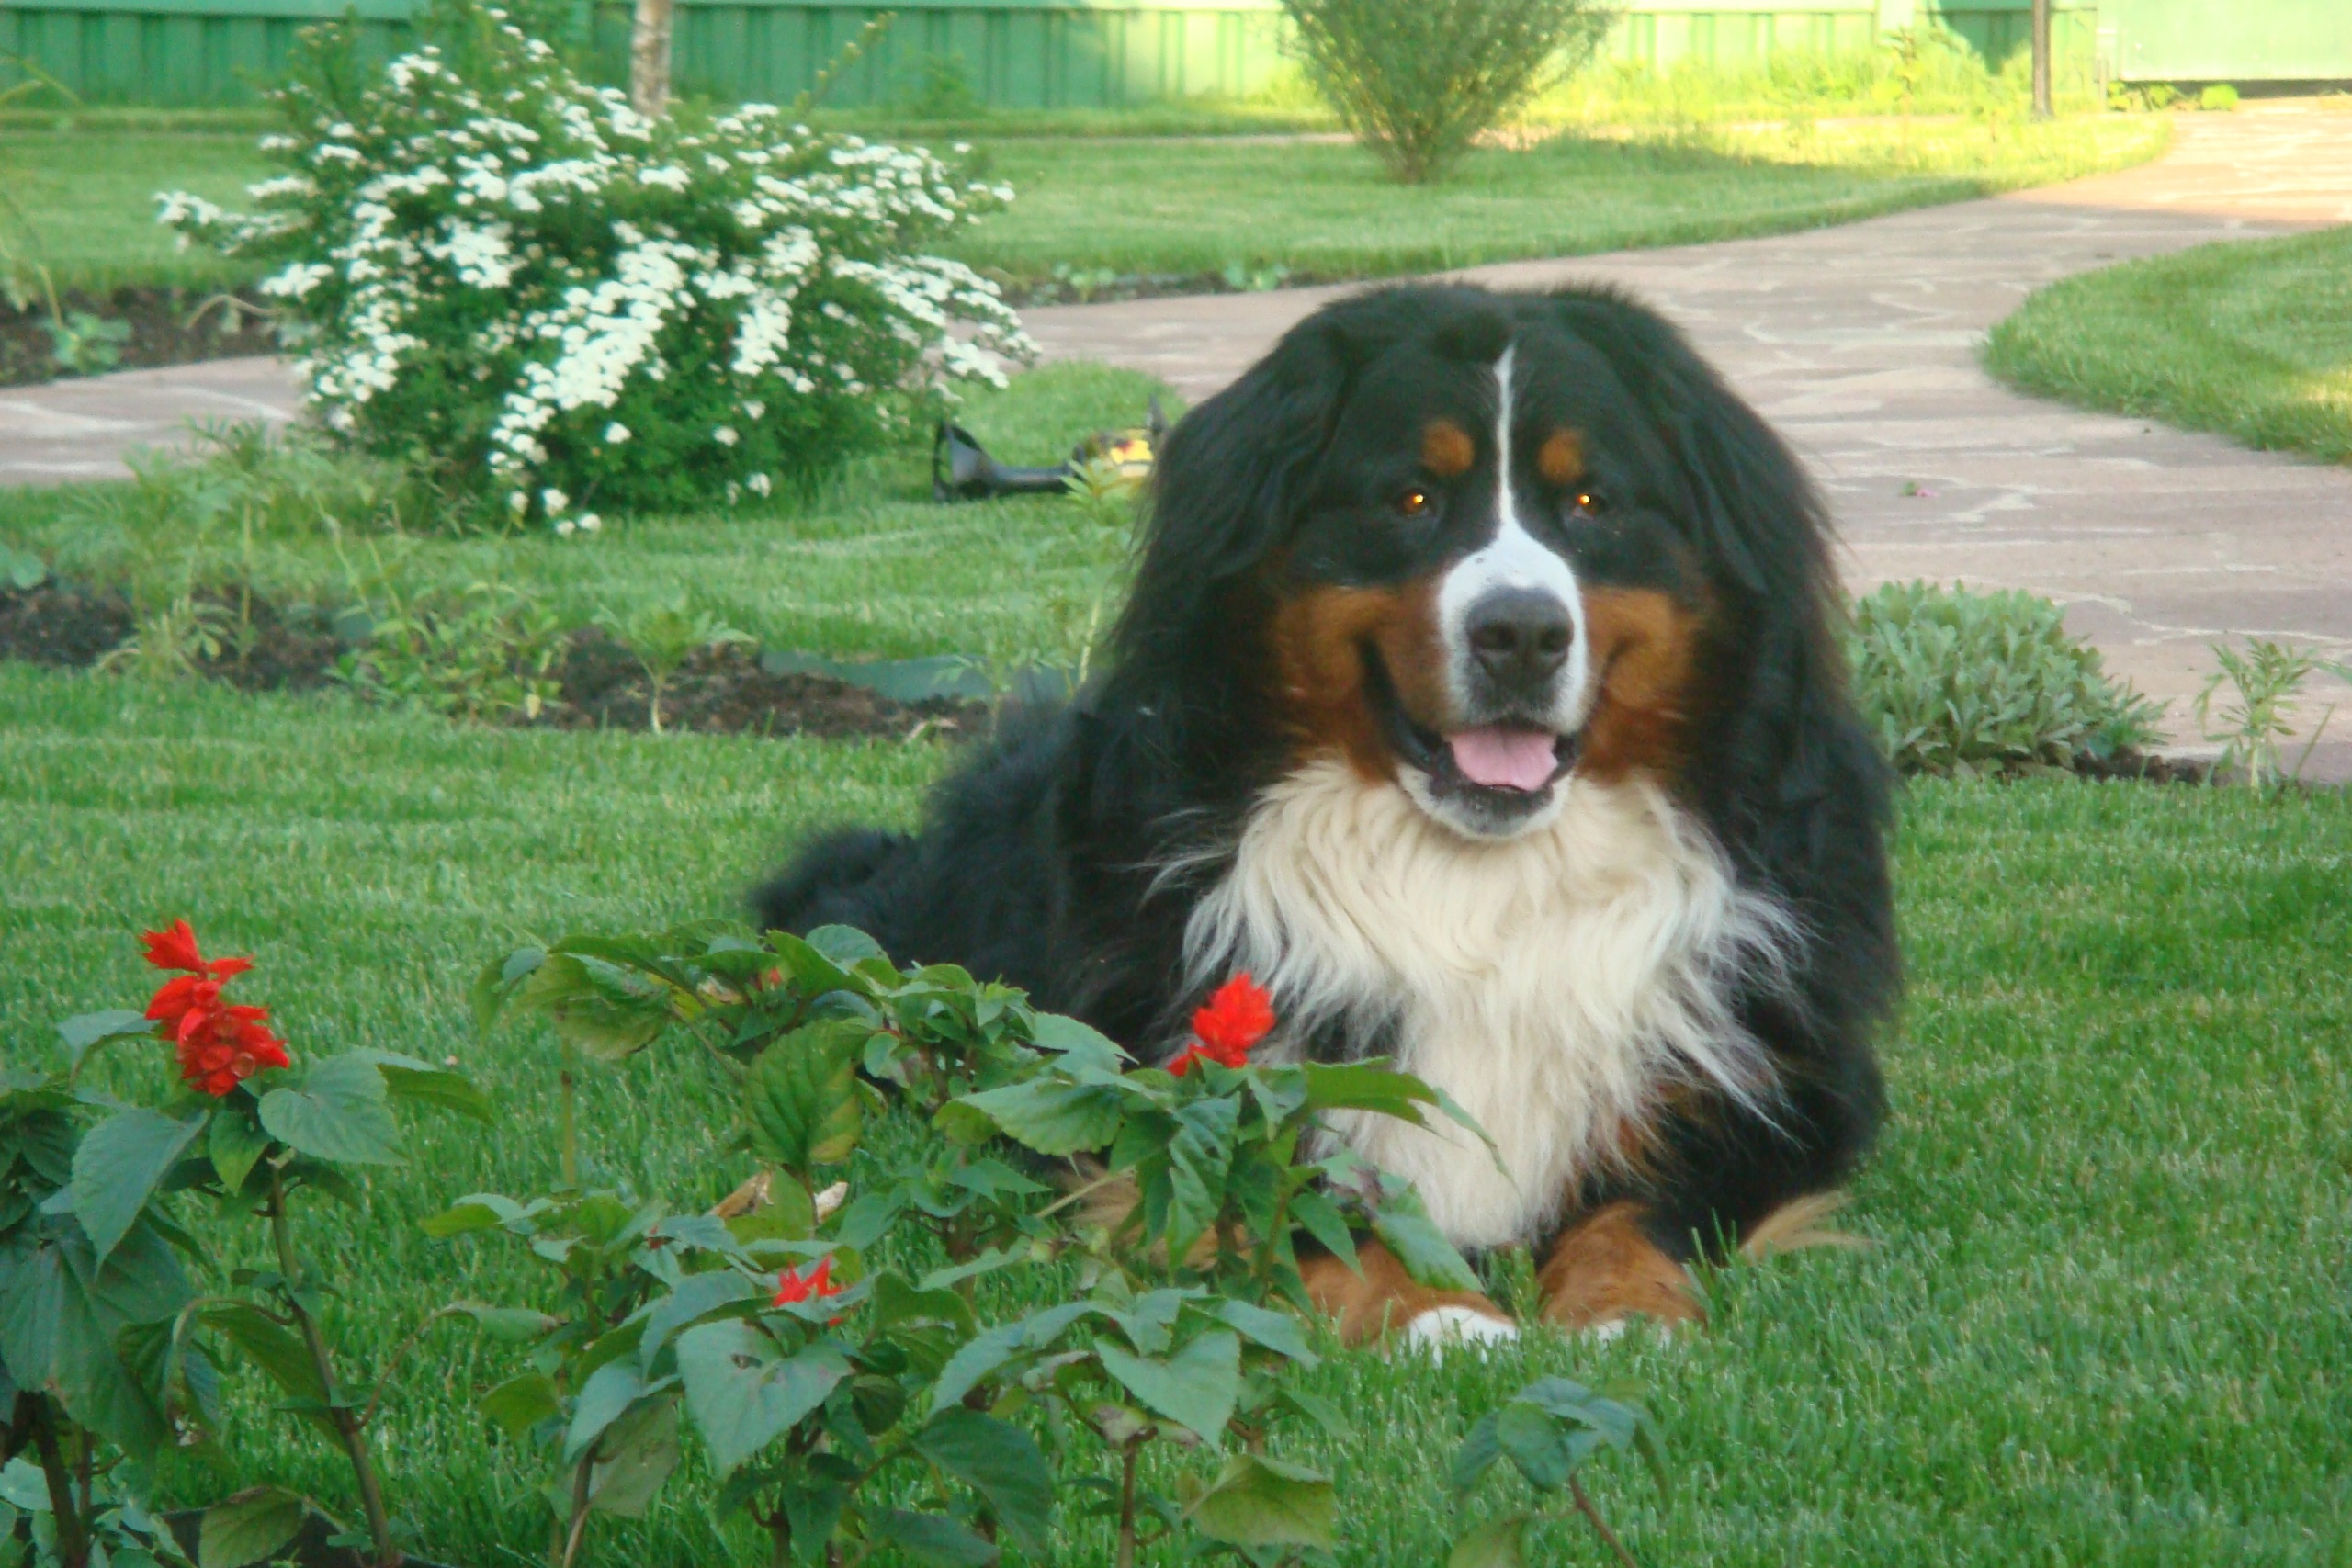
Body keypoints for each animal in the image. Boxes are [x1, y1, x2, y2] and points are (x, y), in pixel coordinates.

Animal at [758, 283, 1897, 1347]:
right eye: (1411, 496)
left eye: (1590, 499)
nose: (1522, 632)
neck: (1477, 884)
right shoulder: (1174, 1084)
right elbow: (1303, 1199)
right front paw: (1442, 1318)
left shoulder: (1773, 1083)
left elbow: (1646, 1202)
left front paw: (1624, 1311)